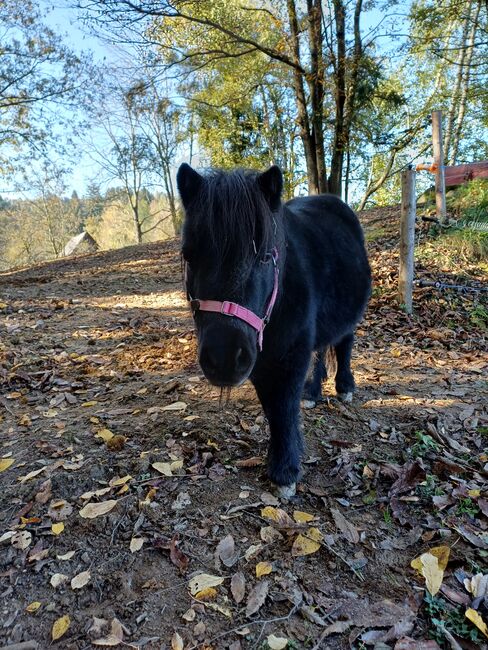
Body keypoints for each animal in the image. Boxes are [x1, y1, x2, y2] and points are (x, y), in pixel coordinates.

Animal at [177, 165, 372, 494]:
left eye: (266, 256)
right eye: (189, 255)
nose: (223, 359)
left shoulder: (289, 355)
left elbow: (283, 407)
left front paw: (285, 471)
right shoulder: (259, 359)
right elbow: (271, 407)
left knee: (343, 343)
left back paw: (345, 387)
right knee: (321, 350)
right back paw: (313, 391)